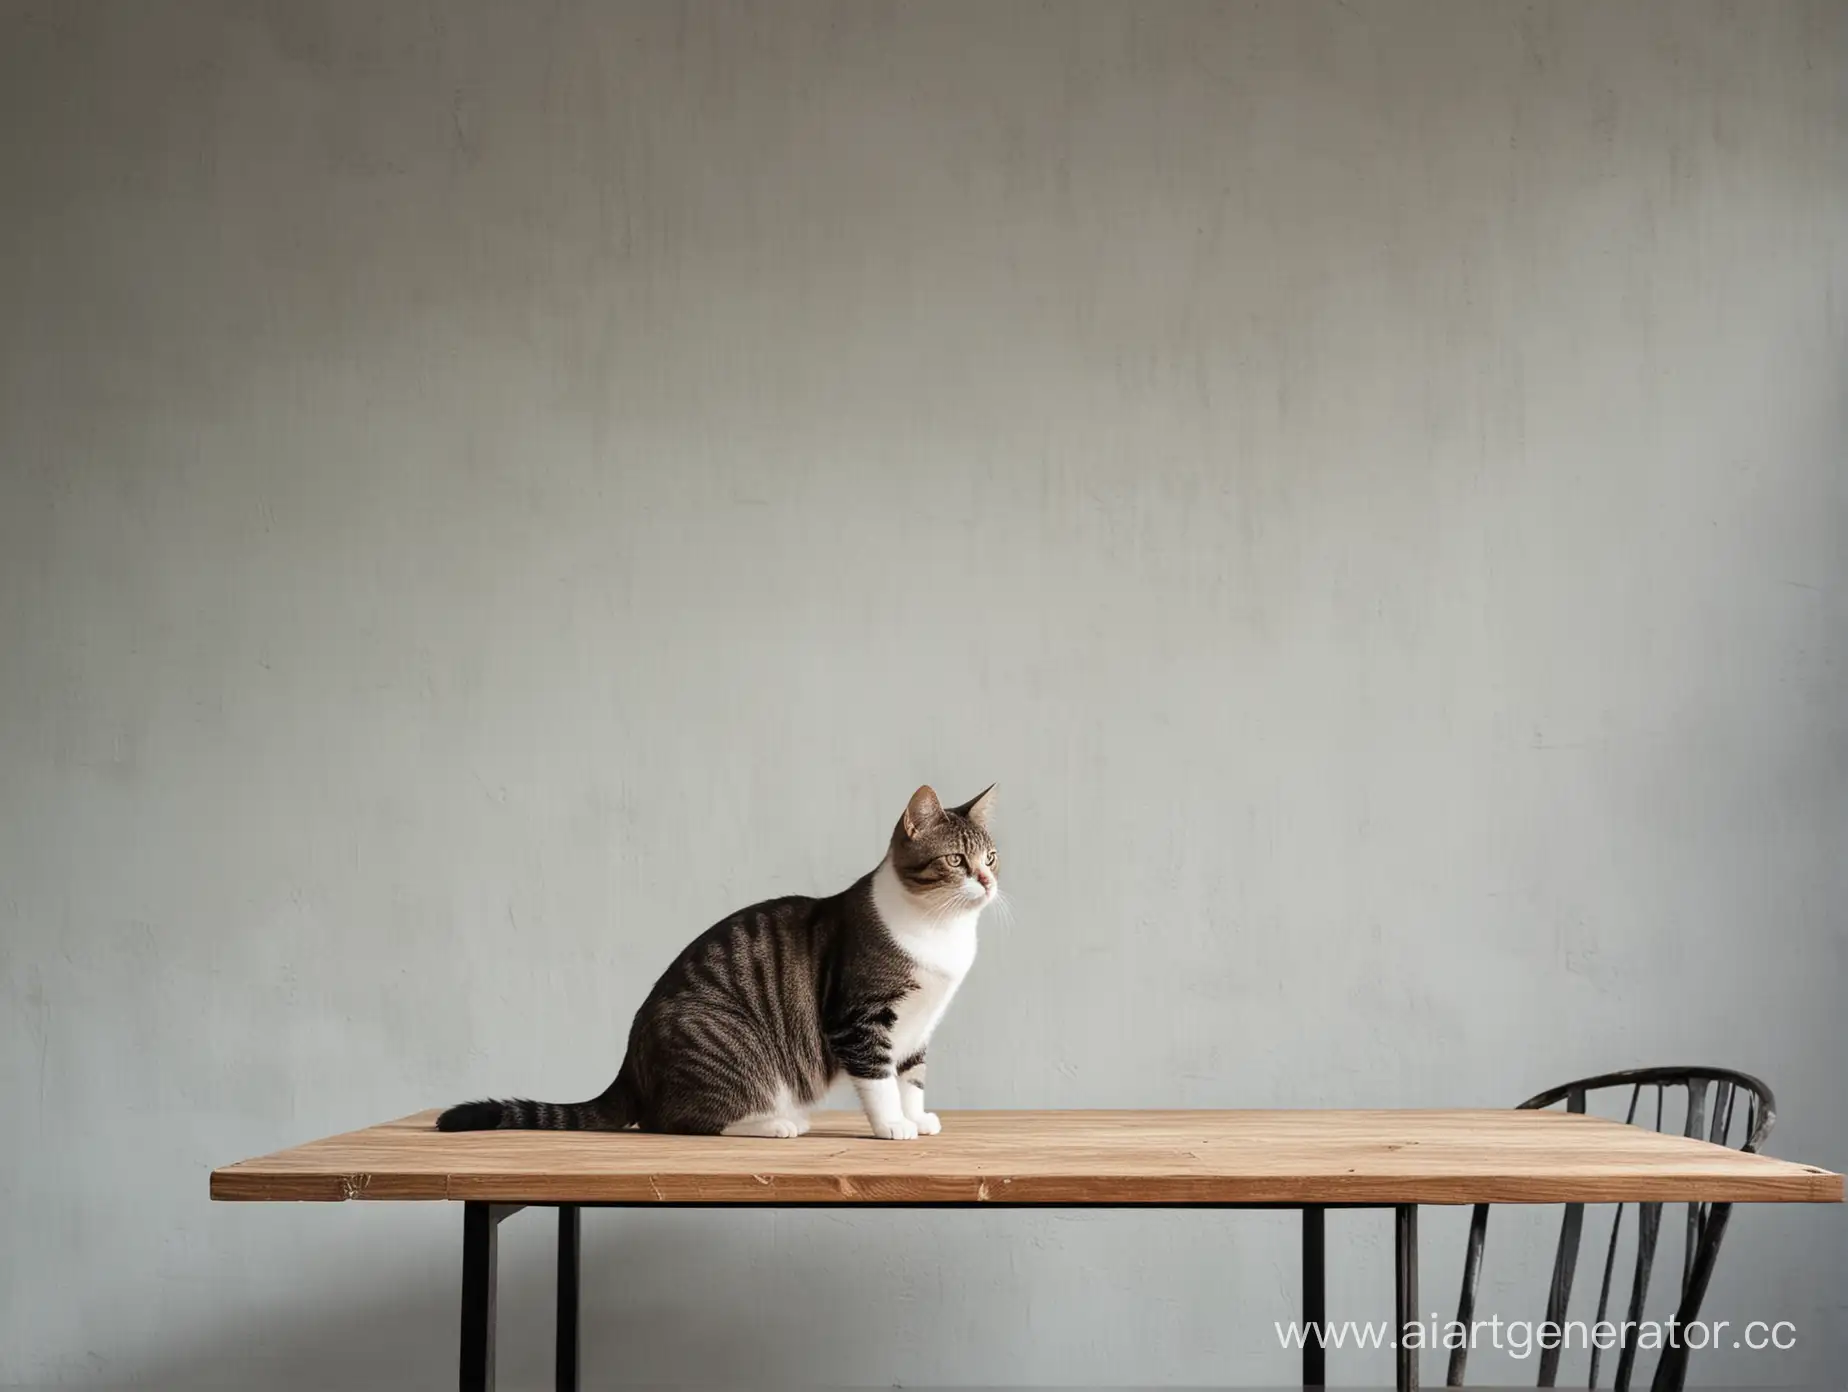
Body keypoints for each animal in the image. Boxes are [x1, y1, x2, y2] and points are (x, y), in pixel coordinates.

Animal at [436, 783, 997, 1138]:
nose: (988, 881)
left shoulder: (918, 1026)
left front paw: (916, 1116)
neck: (939, 930)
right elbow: (880, 1081)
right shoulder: (858, 1016)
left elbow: (910, 1079)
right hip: (730, 1045)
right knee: (672, 1120)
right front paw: (892, 1126)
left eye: (990, 857)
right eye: (955, 860)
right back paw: (776, 1124)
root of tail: (629, 1066)